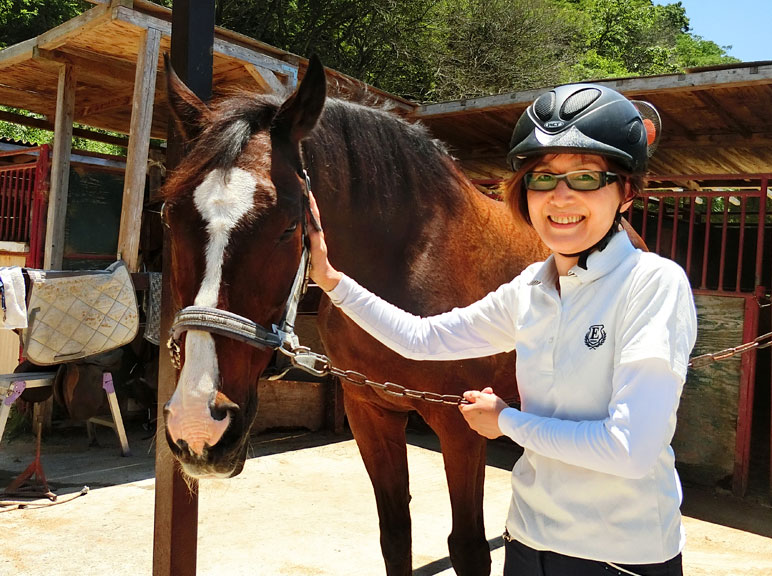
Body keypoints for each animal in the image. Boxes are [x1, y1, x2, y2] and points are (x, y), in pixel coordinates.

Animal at [163, 55, 544, 576]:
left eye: (289, 226)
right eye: (169, 216)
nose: (197, 425)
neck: (407, 261)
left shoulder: (461, 426)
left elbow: (468, 548)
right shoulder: (370, 413)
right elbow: (394, 534)